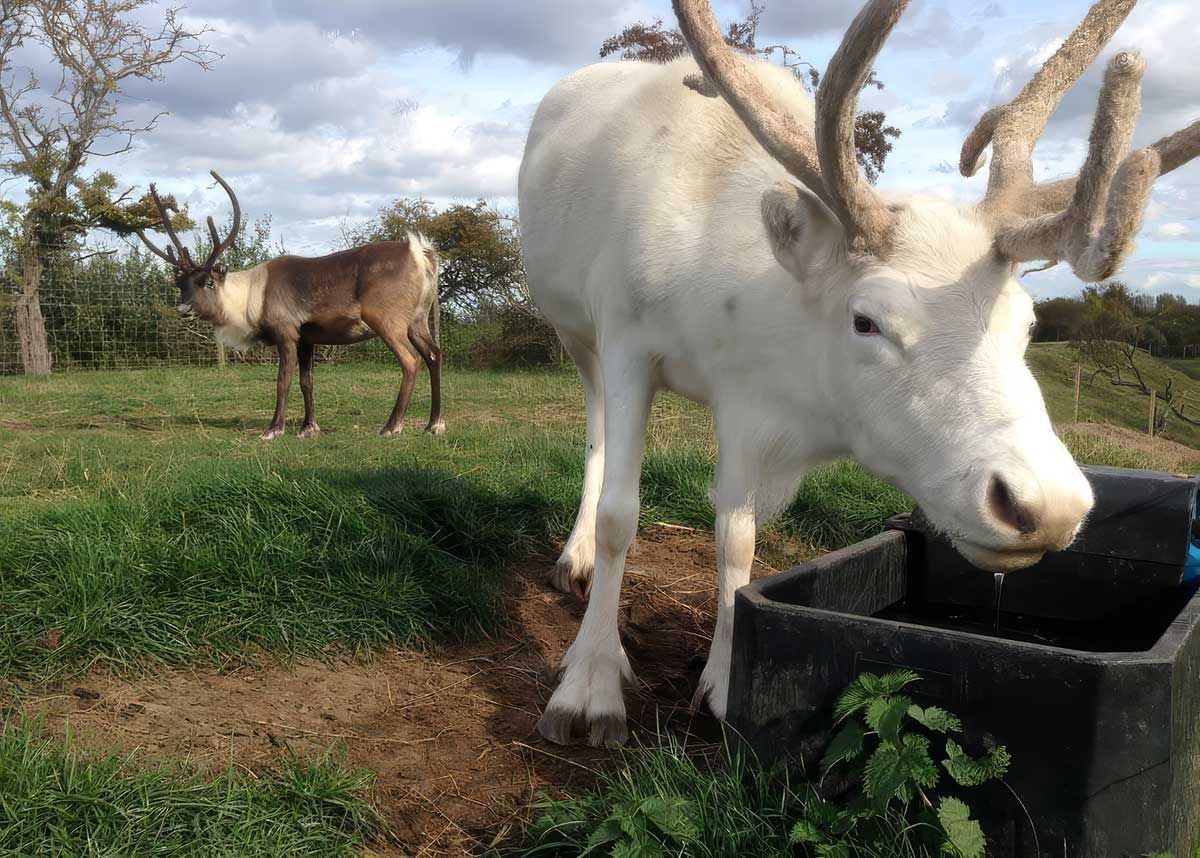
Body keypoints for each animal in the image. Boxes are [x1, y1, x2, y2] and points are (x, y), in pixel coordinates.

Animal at [135, 172, 445, 440]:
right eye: (181, 284)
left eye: (208, 282)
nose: (184, 310)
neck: (249, 297)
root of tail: (420, 254)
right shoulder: (307, 338)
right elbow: (307, 381)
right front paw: (309, 428)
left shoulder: (286, 332)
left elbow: (282, 380)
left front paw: (273, 429)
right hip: (418, 320)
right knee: (434, 354)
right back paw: (434, 424)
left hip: (386, 321)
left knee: (411, 361)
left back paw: (392, 426)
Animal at [517, 0, 1200, 746]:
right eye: (867, 320)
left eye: (1026, 323)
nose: (1045, 506)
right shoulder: (626, 338)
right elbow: (622, 515)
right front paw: (590, 684)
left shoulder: (744, 402)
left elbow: (737, 536)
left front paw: (724, 680)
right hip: (572, 329)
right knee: (594, 429)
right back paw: (574, 557)